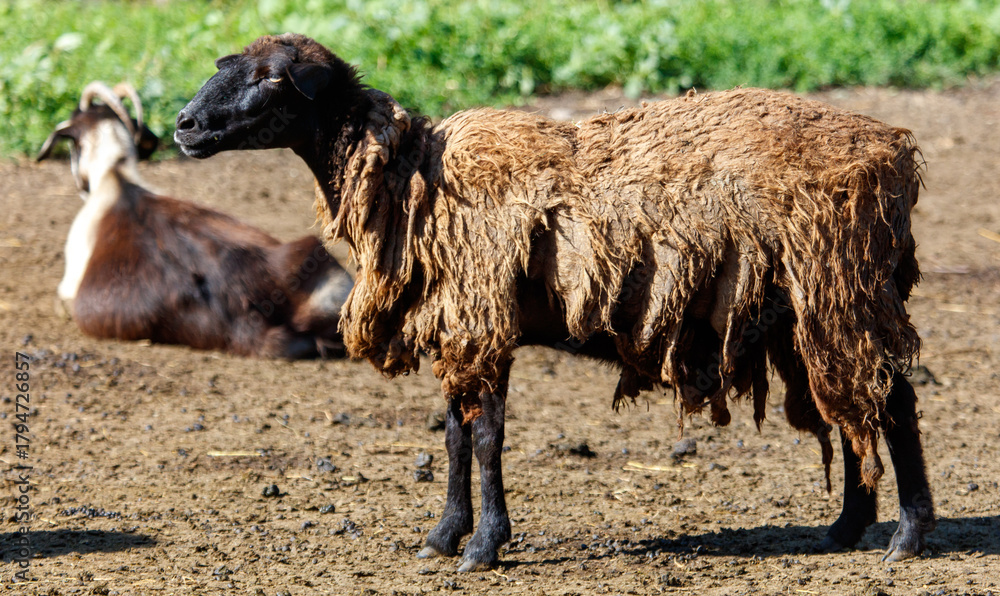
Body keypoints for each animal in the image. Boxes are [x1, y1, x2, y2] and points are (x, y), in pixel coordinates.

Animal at [175, 33, 935, 569]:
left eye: (270, 77)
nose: (183, 125)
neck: (414, 177)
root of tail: (895, 152)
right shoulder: (459, 326)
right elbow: (454, 436)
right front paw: (443, 536)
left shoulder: (485, 321)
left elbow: (486, 438)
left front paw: (483, 547)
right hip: (808, 309)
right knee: (852, 404)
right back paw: (846, 529)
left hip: (844, 287)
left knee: (892, 401)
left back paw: (907, 535)